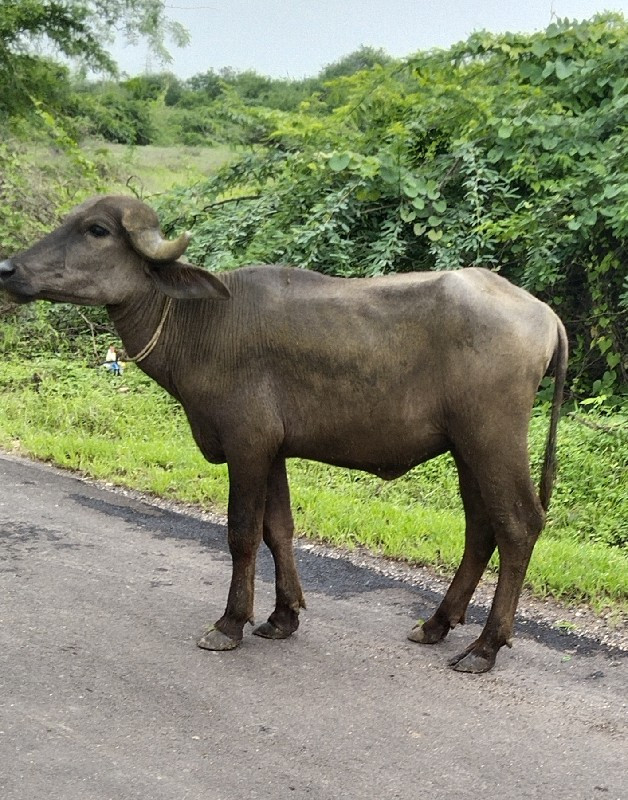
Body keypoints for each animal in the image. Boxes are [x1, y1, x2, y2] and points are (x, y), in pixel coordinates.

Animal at [0, 197, 568, 672]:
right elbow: (279, 529)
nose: (7, 268)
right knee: (481, 528)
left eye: (96, 230)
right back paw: (437, 623)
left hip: (493, 439)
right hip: (466, 448)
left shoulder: (246, 445)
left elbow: (242, 533)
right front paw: (282, 616)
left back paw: (486, 646)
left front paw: (231, 623)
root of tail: (545, 316)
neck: (199, 323)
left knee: (518, 525)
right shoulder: (272, 450)